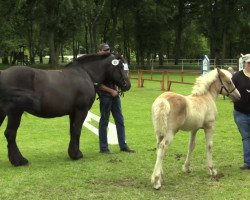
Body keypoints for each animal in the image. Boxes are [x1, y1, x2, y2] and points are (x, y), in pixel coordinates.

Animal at [0, 52, 131, 166]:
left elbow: (72, 130)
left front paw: (73, 153)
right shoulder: (81, 110)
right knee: (10, 133)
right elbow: (77, 130)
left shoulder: (73, 112)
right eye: (121, 66)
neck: (86, 74)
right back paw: (19, 160)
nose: (128, 85)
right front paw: (76, 154)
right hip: (15, 112)